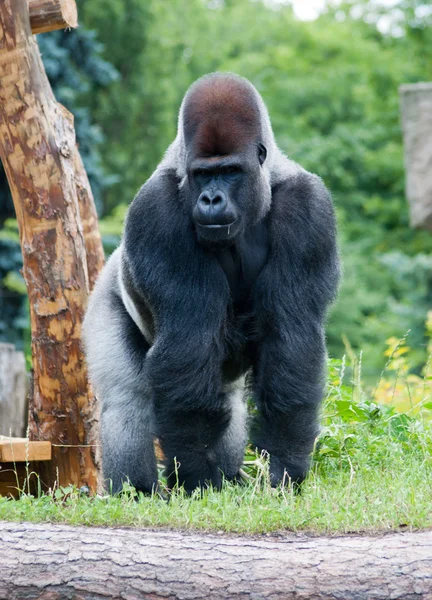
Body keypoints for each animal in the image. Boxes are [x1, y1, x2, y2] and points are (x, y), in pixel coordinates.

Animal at [83, 72, 340, 494]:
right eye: (203, 173)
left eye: (230, 171)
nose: (211, 199)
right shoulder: (155, 212)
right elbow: (188, 343)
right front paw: (197, 476)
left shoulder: (309, 209)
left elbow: (291, 339)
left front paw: (285, 466)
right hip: (105, 293)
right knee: (127, 399)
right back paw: (136, 491)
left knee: (227, 396)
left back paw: (230, 475)